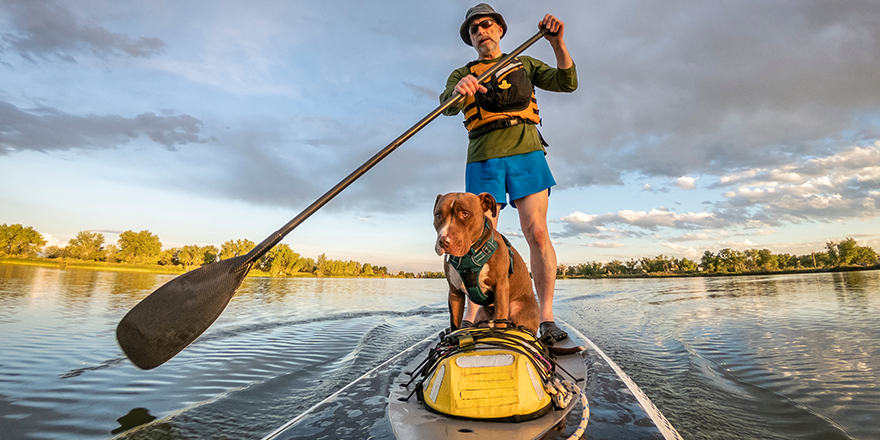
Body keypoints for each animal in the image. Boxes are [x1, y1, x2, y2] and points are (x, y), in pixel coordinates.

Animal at [434, 192, 544, 334]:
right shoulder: (454, 293)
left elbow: (500, 321)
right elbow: (454, 324)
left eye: (465, 214)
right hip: (482, 315)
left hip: (519, 311)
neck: (469, 255)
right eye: (438, 215)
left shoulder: (500, 288)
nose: (444, 241)